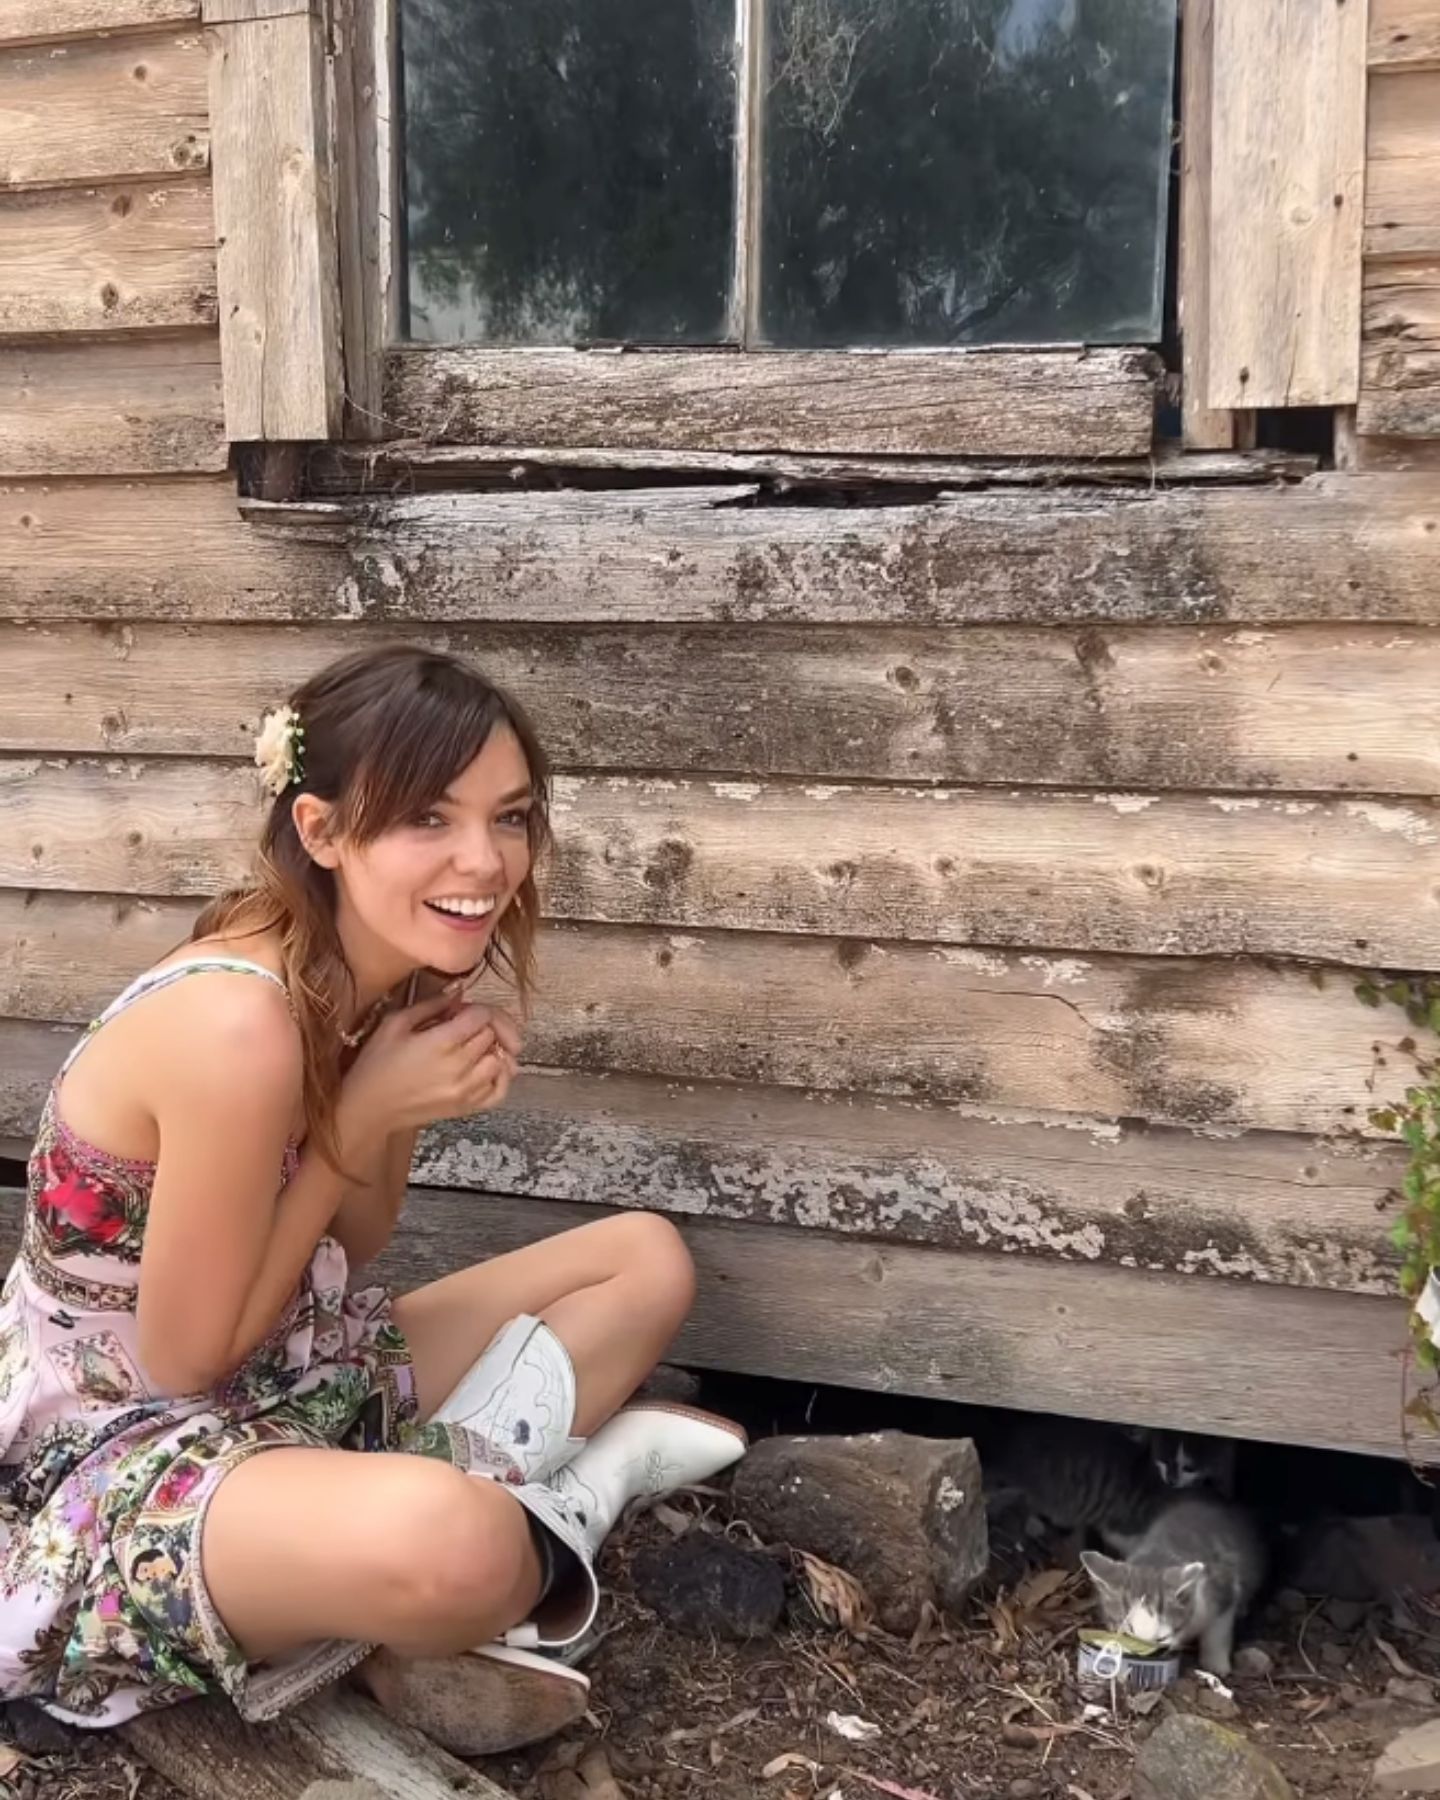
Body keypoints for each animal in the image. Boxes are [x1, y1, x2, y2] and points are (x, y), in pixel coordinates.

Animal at [1072, 1490, 1267, 1670]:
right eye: (1128, 1634)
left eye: (1162, 1639)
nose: (1146, 1658)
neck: (1160, 1553)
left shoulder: (1223, 1589)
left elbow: (1217, 1632)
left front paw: (1216, 1665)